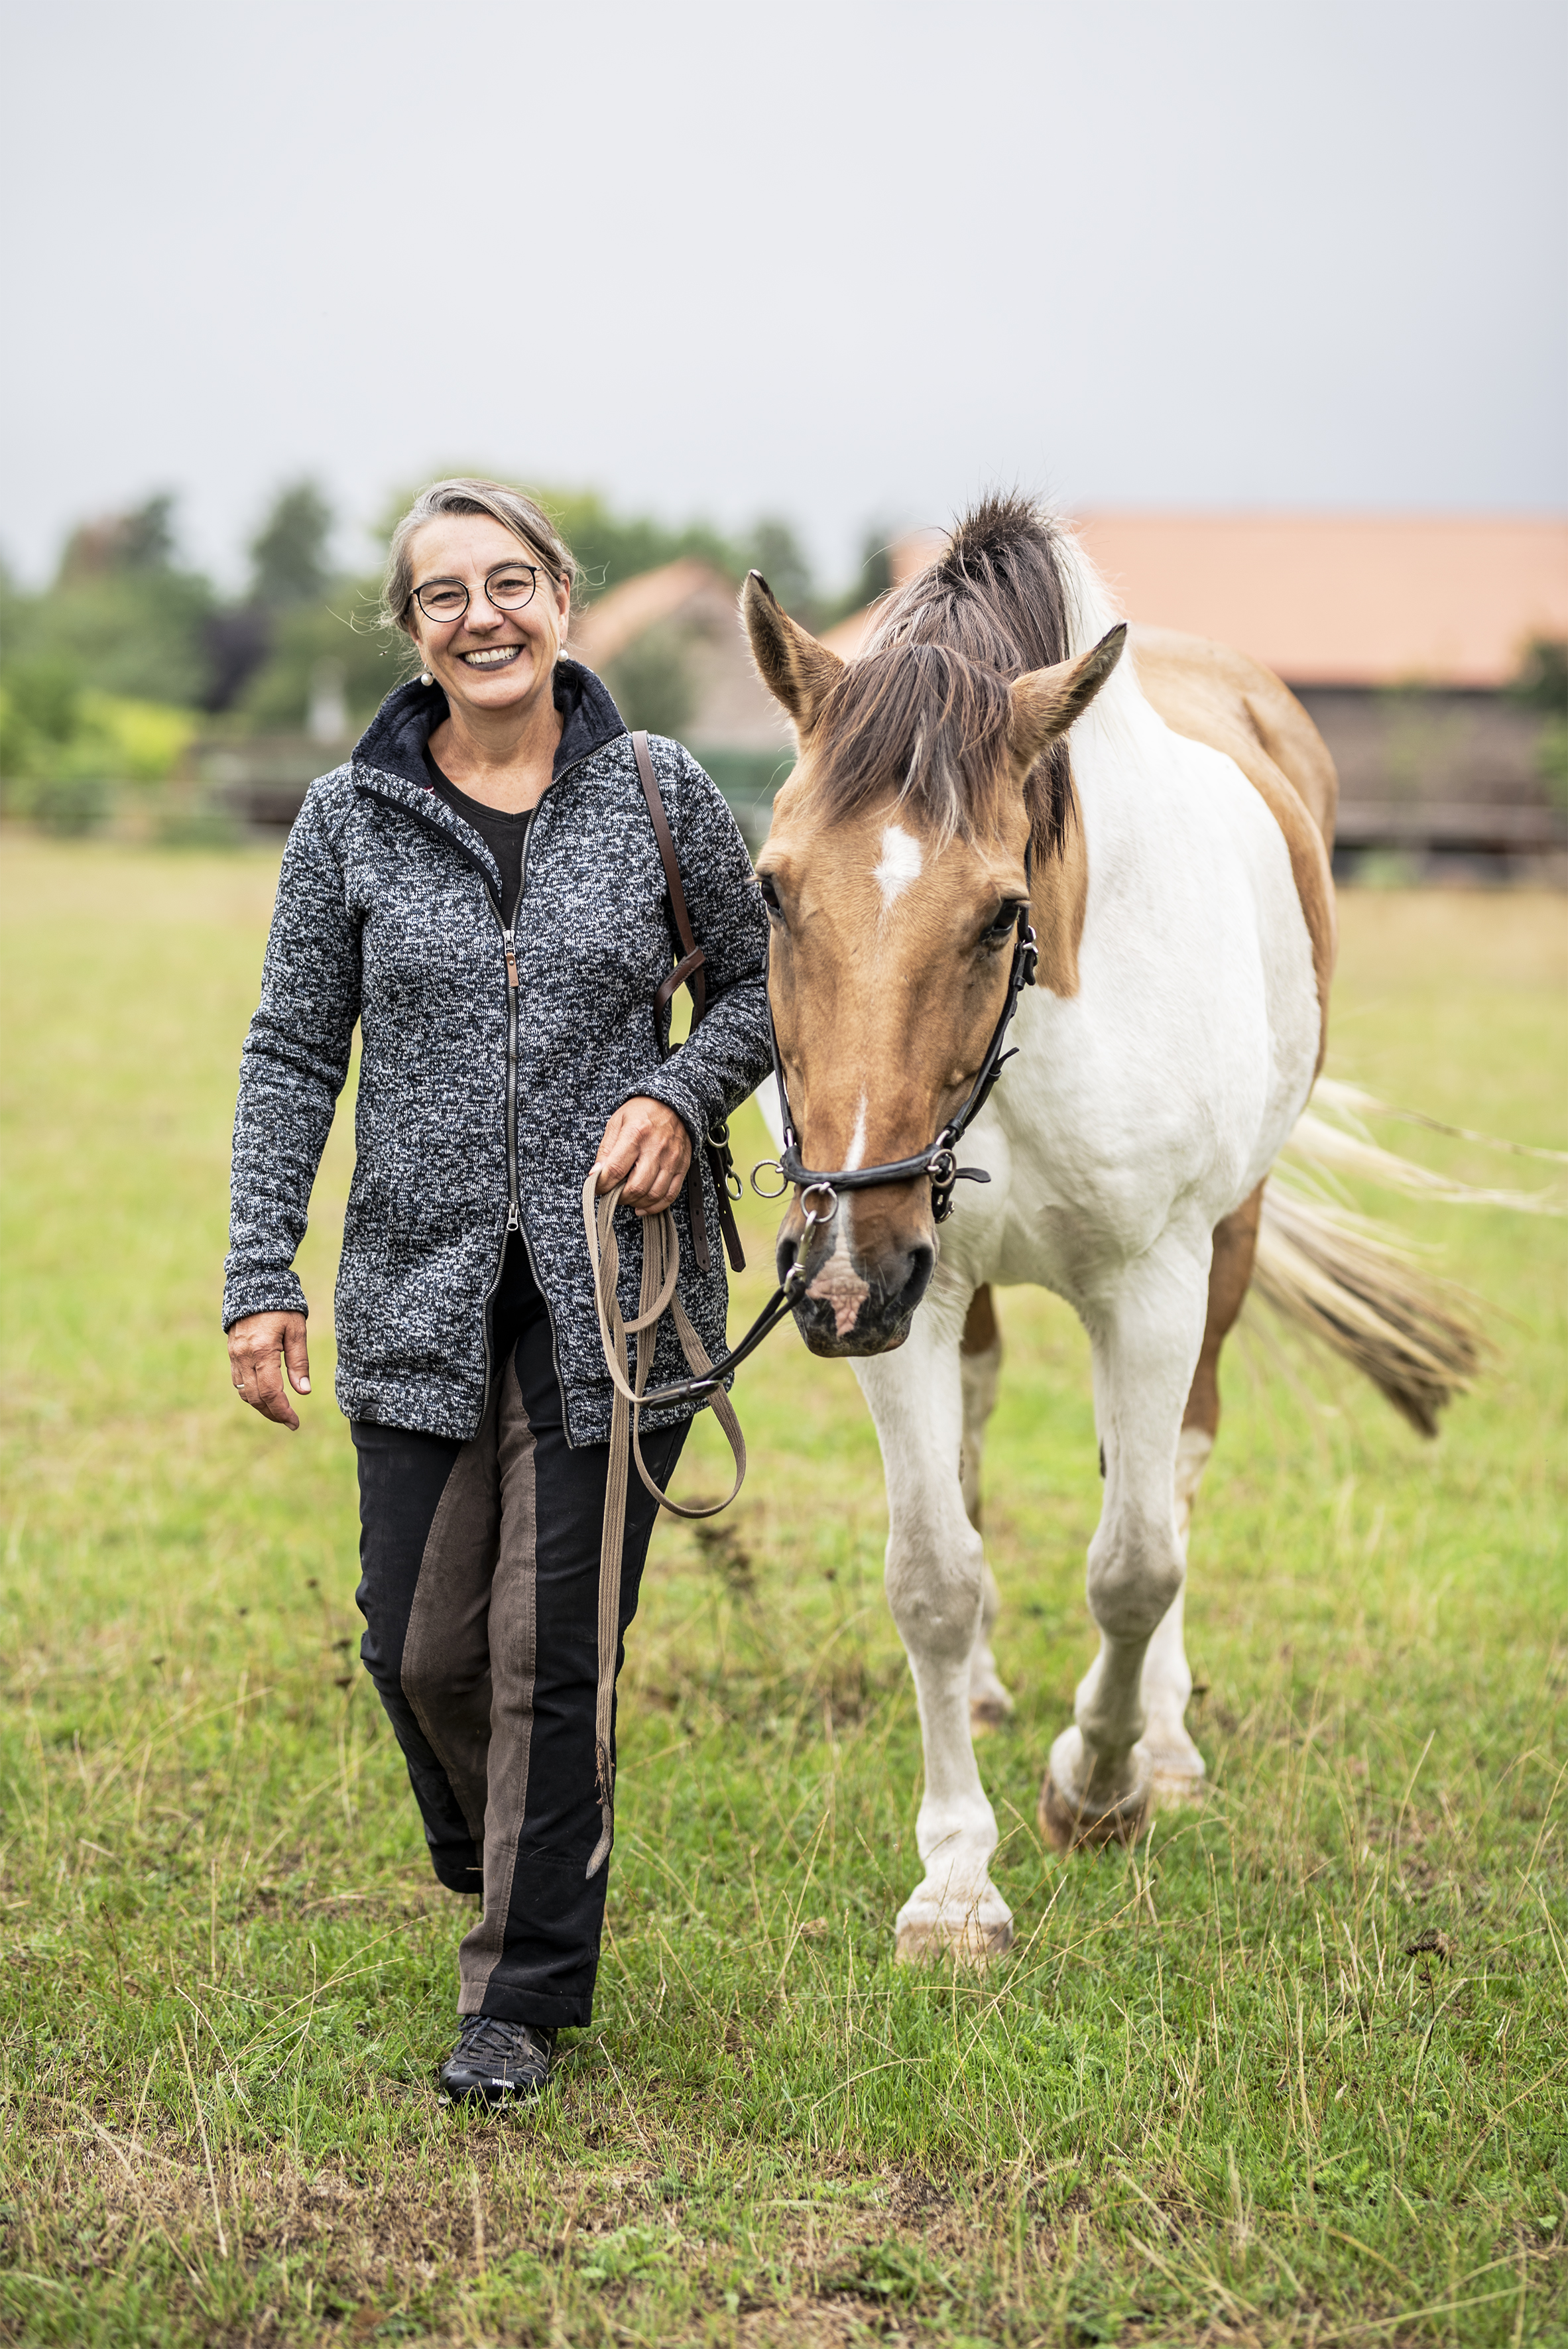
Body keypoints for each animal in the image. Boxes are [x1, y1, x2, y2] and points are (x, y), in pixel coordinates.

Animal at [741, 505, 1474, 1973]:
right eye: (775, 892)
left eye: (998, 912)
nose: (838, 1279)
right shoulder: (911, 1289)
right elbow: (932, 1574)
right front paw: (955, 1883)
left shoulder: (1150, 1284)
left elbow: (1136, 1559)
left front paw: (1102, 1784)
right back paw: (987, 1694)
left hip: (1220, 1246)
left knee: (1173, 1470)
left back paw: (1165, 1742)